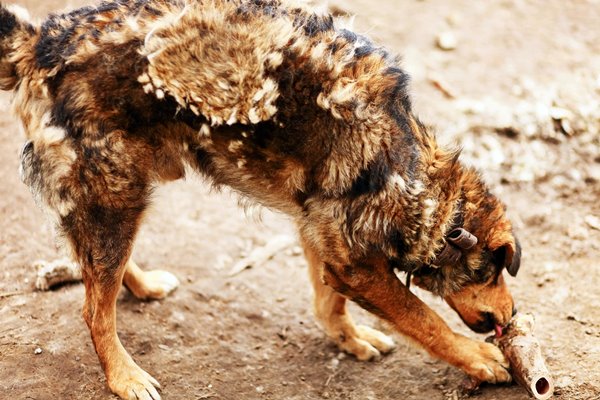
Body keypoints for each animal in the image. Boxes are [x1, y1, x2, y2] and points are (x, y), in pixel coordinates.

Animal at [1, 1, 520, 398]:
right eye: (492, 272)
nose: (511, 317)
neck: (412, 171)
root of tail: (40, 39)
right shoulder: (358, 267)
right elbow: (425, 318)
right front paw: (478, 358)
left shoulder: (322, 240)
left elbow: (329, 304)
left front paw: (349, 339)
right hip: (115, 196)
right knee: (94, 310)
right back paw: (126, 377)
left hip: (118, 198)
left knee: (94, 269)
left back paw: (144, 285)